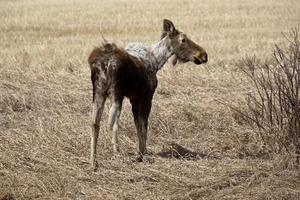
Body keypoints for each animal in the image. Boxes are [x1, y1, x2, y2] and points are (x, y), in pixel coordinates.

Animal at [88, 19, 207, 169]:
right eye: (183, 40)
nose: (203, 55)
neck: (157, 61)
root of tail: (104, 62)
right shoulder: (146, 96)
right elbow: (143, 124)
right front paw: (141, 154)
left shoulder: (133, 98)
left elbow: (137, 124)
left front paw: (141, 152)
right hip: (116, 93)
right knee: (112, 122)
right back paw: (117, 152)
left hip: (98, 92)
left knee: (94, 123)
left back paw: (93, 161)